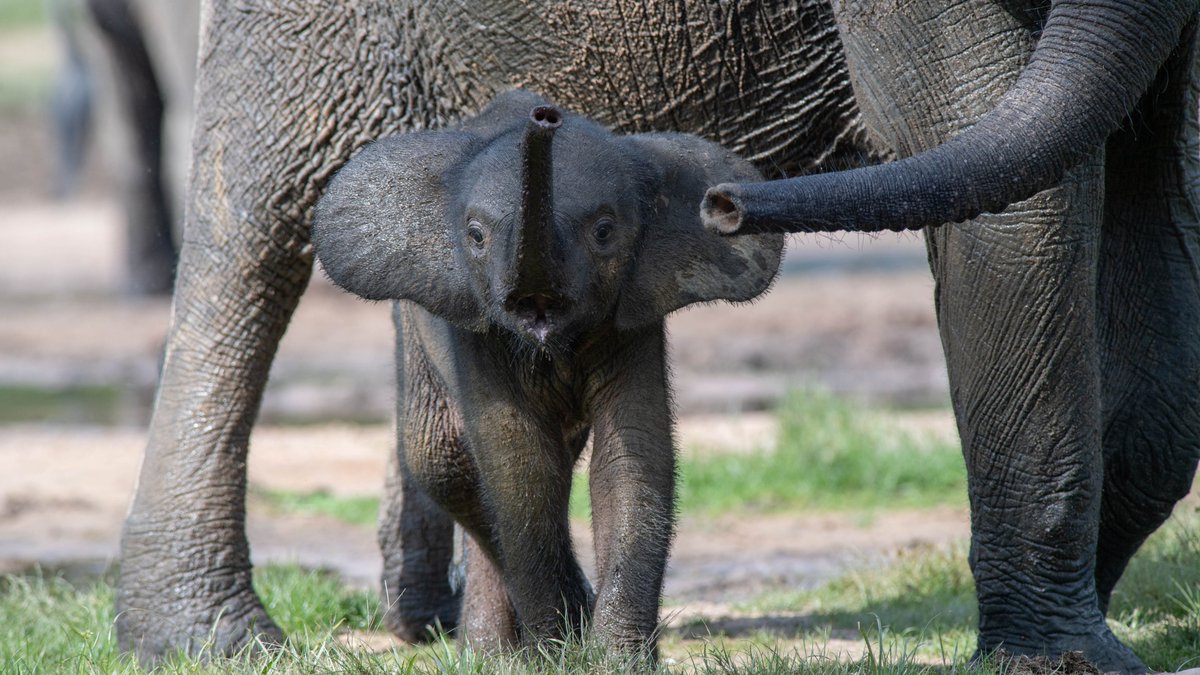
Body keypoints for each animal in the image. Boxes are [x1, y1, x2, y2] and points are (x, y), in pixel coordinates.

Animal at [310, 89, 782, 653]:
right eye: (475, 236)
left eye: (604, 232)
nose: (545, 119)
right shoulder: (477, 330)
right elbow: (521, 466)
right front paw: (555, 650)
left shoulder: (633, 316)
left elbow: (630, 459)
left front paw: (614, 657)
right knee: (443, 463)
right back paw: (490, 653)